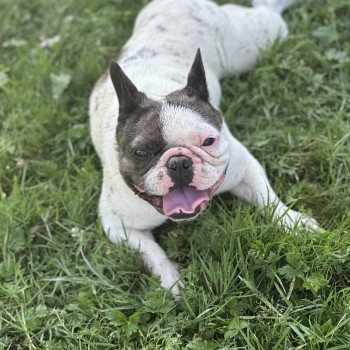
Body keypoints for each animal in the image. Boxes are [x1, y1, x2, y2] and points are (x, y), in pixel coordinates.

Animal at [89, 0, 320, 296]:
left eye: (208, 142)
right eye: (141, 152)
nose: (178, 162)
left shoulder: (244, 168)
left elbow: (269, 200)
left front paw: (294, 221)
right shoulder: (119, 227)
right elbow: (151, 252)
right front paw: (171, 280)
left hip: (257, 41)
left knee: (267, 14)